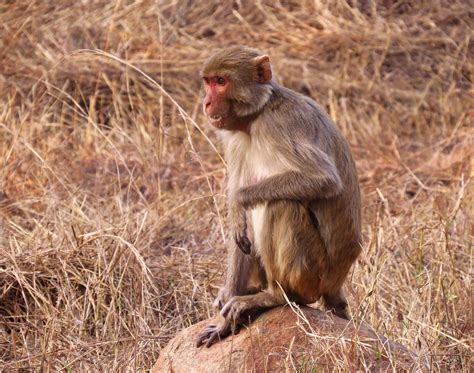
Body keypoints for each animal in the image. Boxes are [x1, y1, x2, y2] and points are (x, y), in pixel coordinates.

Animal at [196, 45, 362, 346]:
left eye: (221, 82)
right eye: (208, 82)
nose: (207, 102)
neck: (256, 116)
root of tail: (336, 282)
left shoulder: (280, 125)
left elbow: (323, 179)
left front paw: (236, 202)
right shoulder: (236, 141)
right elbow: (241, 230)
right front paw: (224, 320)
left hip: (314, 274)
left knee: (280, 204)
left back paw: (275, 296)